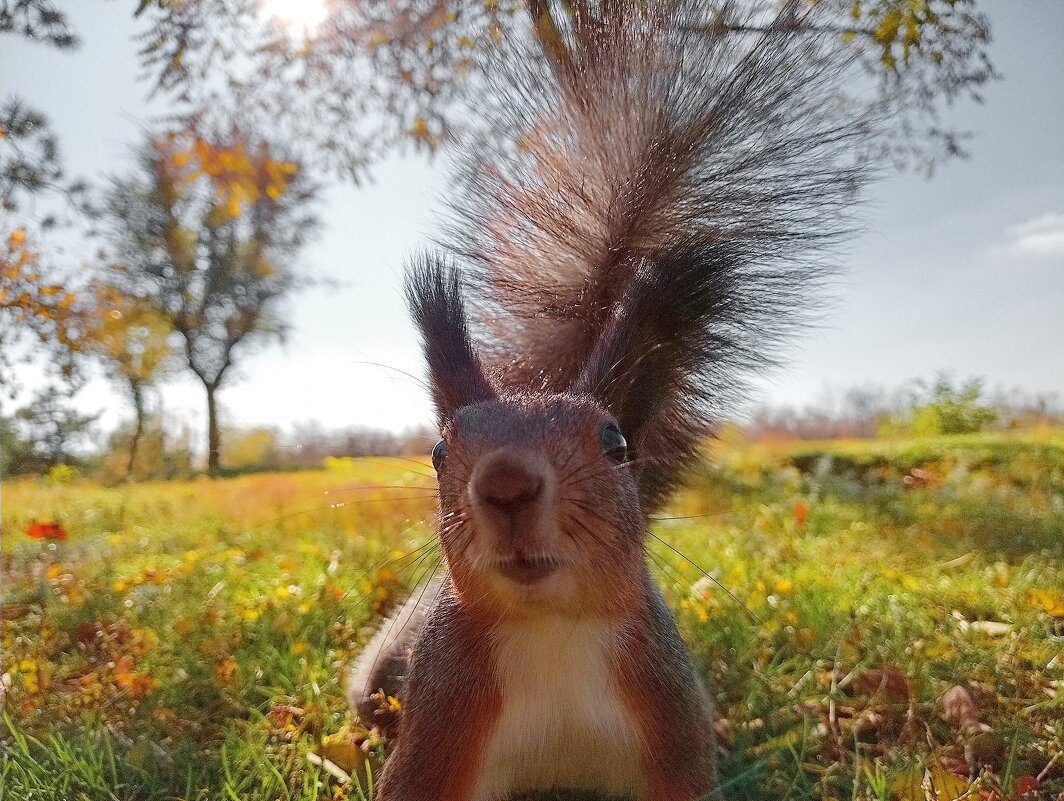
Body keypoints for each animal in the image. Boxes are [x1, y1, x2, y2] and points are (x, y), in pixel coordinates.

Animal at [353, 1, 868, 799]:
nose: (505, 483)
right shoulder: (438, 735)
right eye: (438, 450)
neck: (552, 631)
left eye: (616, 443)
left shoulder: (671, 731)